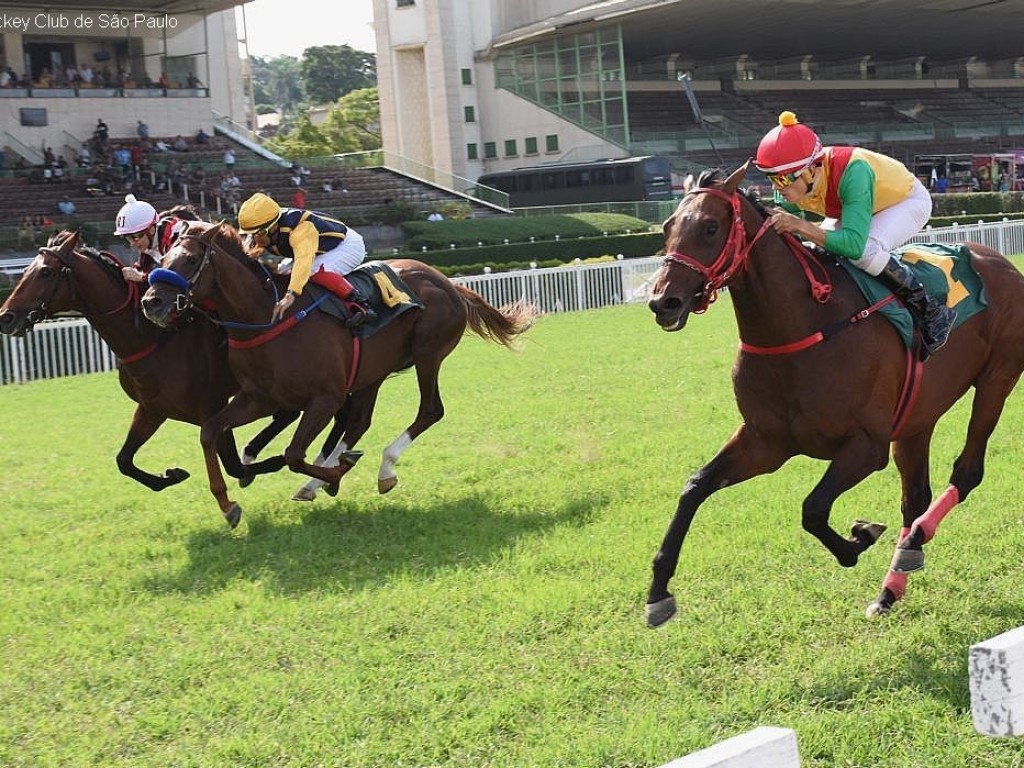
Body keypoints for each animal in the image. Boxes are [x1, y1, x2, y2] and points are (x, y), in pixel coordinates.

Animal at [140, 219, 536, 528]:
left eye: (191, 259)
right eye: (164, 259)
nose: (151, 302)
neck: (266, 317)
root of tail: (448, 282)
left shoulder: (324, 397)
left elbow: (293, 454)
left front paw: (335, 474)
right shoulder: (257, 398)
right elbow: (209, 432)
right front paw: (227, 505)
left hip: (427, 353)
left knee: (429, 410)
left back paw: (384, 469)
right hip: (373, 371)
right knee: (360, 422)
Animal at [643, 165, 1024, 626]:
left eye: (710, 227)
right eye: (668, 227)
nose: (663, 301)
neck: (803, 326)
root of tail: (999, 260)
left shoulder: (866, 446)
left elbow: (813, 509)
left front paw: (860, 537)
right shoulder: (765, 443)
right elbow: (694, 486)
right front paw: (658, 593)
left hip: (997, 379)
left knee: (966, 473)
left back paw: (913, 543)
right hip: (917, 417)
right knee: (915, 496)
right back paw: (892, 585)